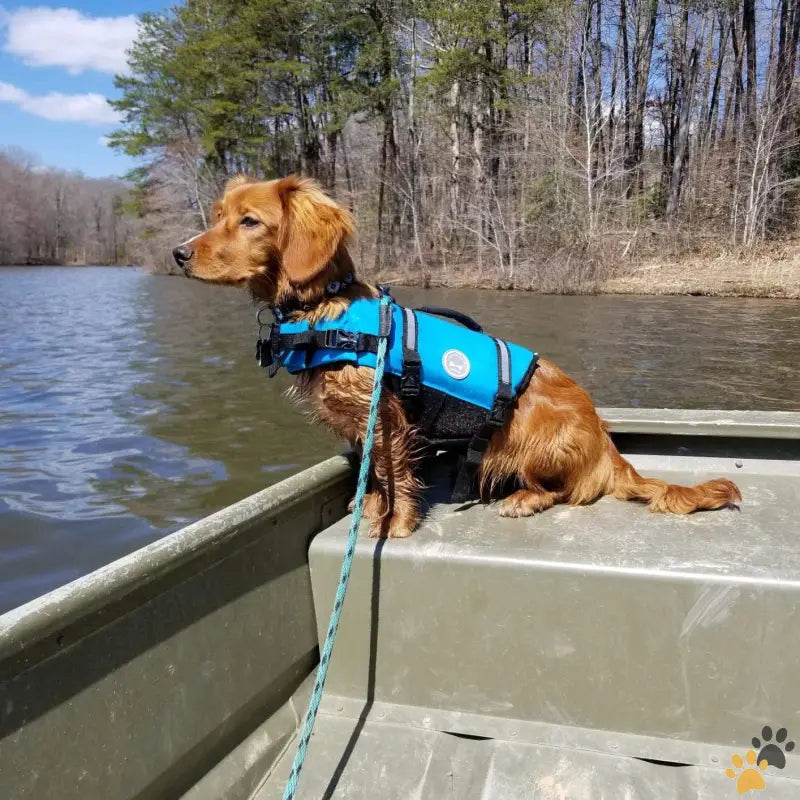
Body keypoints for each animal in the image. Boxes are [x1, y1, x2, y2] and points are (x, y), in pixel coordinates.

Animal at [172, 175, 740, 536]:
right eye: (217, 216)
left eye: (250, 221)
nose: (178, 253)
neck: (326, 312)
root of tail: (610, 452)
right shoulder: (360, 423)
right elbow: (371, 473)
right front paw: (370, 508)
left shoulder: (387, 420)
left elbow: (395, 476)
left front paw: (395, 524)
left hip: (536, 438)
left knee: (567, 491)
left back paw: (524, 499)